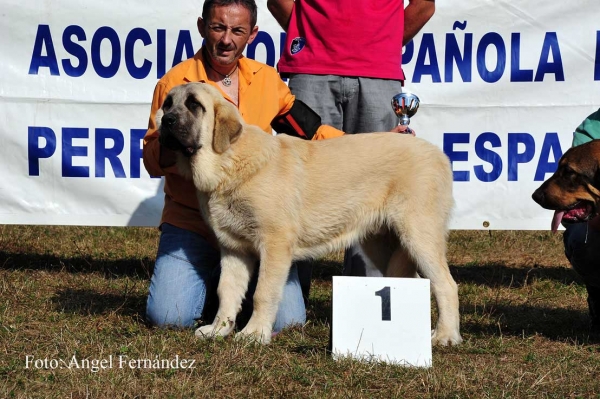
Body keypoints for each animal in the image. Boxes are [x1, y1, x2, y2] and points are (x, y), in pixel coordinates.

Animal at [156, 82, 464, 346]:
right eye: (168, 103)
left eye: (194, 105)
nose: (166, 121)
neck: (227, 163)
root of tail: (438, 154)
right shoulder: (233, 248)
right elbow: (227, 292)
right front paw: (219, 329)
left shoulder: (274, 244)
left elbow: (262, 293)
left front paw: (254, 333)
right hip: (381, 243)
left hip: (418, 235)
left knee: (446, 285)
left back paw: (445, 336)